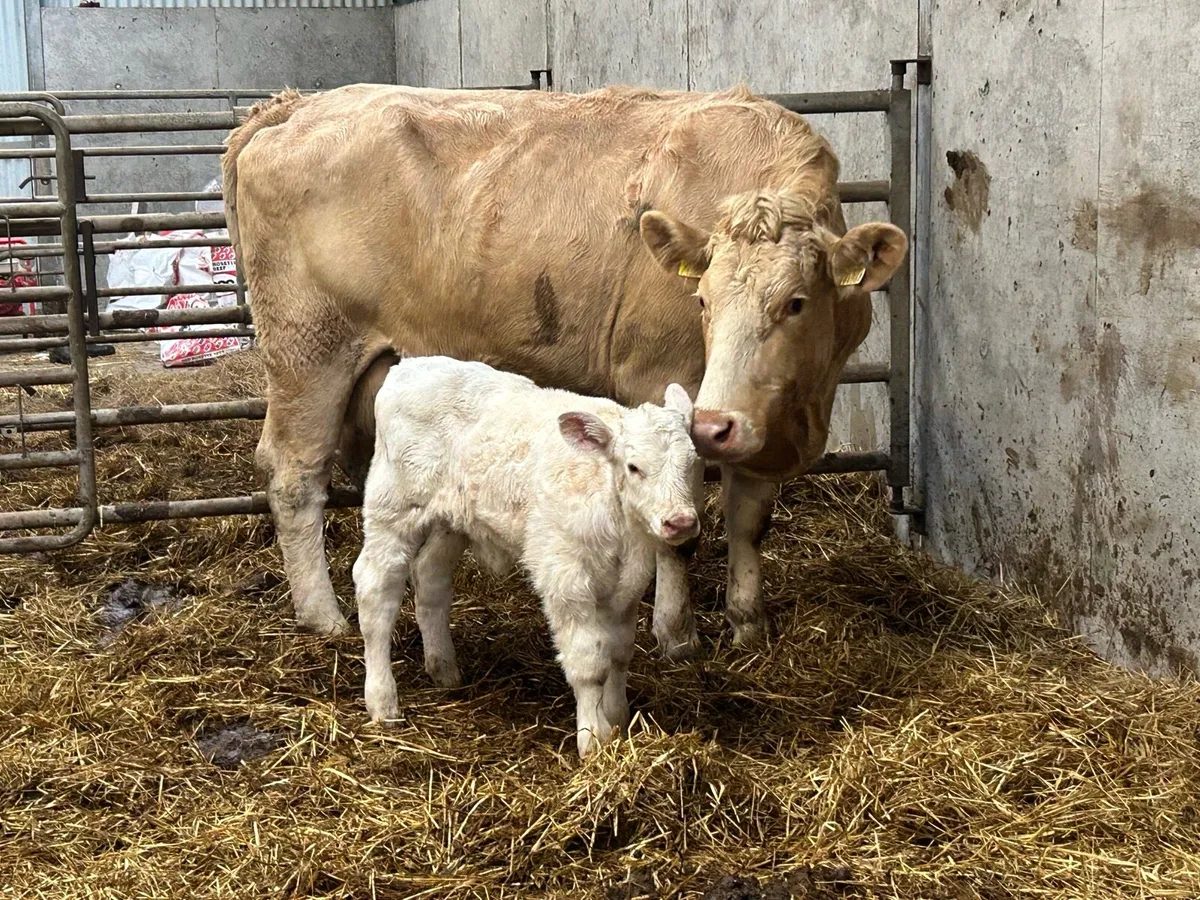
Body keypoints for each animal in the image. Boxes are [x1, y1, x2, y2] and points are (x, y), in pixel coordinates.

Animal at [221, 83, 908, 658]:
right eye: (701, 300)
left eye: (796, 302)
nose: (716, 427)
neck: (803, 409)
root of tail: (298, 105)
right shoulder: (658, 384)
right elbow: (676, 529)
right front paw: (677, 636)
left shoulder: (765, 424)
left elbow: (748, 520)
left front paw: (747, 624)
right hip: (309, 350)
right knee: (292, 476)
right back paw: (324, 617)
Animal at [354, 356, 701, 755]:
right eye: (634, 467)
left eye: (691, 462)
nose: (680, 521)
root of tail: (410, 366)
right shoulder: (565, 576)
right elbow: (590, 662)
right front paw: (593, 739)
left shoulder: (628, 583)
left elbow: (619, 651)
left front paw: (618, 718)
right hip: (393, 506)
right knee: (375, 588)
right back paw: (383, 702)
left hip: (452, 520)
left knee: (430, 576)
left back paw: (444, 669)